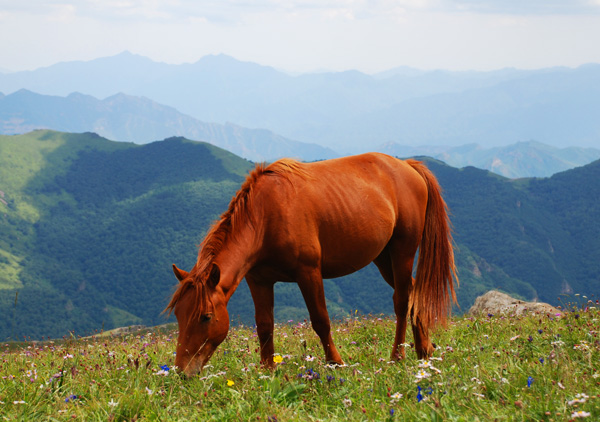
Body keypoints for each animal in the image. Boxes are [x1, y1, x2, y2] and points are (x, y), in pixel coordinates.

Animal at [166, 152, 458, 376]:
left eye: (205, 316)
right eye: (179, 314)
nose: (182, 372)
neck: (265, 216)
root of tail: (407, 166)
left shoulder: (308, 273)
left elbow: (321, 320)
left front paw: (335, 363)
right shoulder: (258, 281)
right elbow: (264, 325)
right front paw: (268, 371)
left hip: (402, 251)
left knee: (401, 300)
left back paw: (397, 356)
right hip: (383, 258)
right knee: (412, 291)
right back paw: (423, 349)